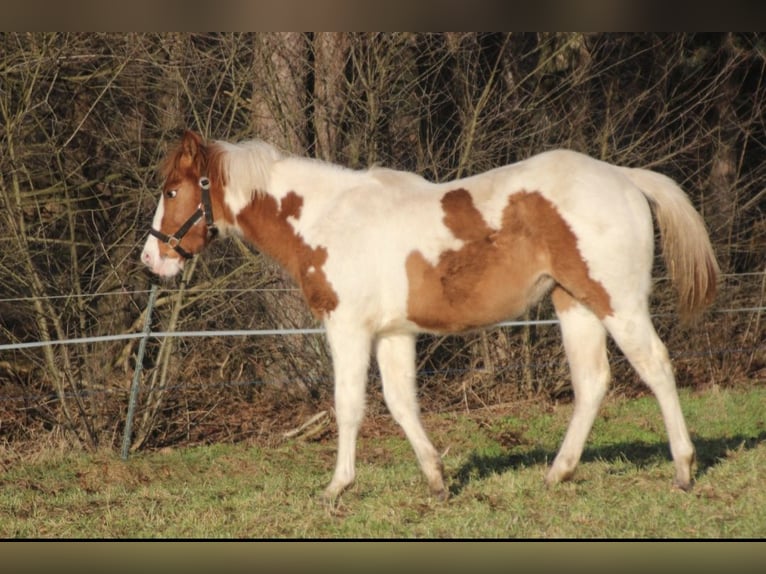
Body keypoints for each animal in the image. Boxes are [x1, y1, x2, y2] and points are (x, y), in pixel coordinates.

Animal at [141, 130, 719, 501]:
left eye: (172, 191)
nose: (151, 261)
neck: (329, 217)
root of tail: (624, 177)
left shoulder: (347, 327)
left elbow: (348, 406)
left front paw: (336, 487)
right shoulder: (394, 334)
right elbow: (402, 405)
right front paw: (438, 481)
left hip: (618, 303)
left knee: (656, 367)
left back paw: (684, 470)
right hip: (574, 303)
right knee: (592, 382)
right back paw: (557, 474)